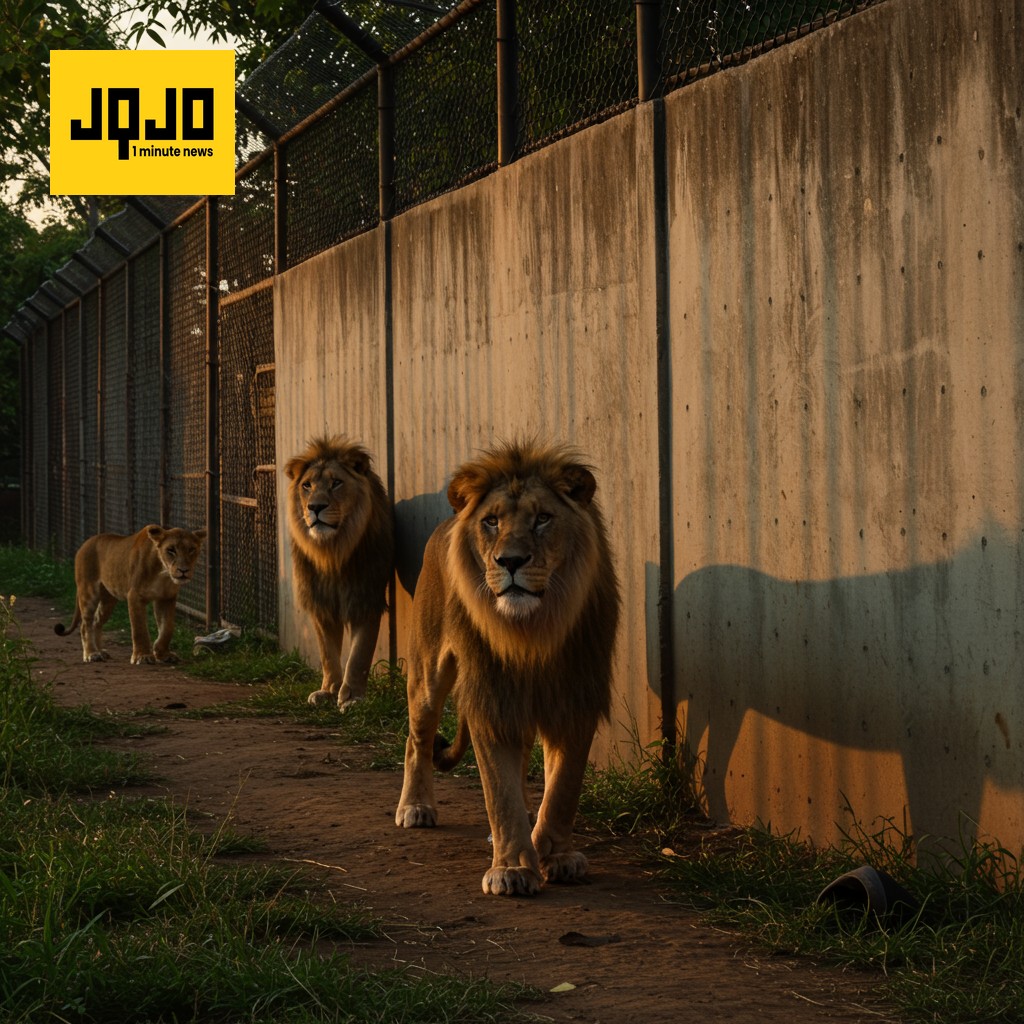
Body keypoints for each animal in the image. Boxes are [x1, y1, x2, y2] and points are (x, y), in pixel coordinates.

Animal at [55, 525, 207, 665]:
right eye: (171, 550)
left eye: (191, 549)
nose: (183, 570)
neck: (163, 573)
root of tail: (85, 543)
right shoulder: (134, 596)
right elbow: (139, 628)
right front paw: (142, 656)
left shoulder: (166, 598)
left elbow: (167, 628)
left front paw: (162, 654)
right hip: (88, 591)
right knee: (85, 624)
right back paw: (92, 654)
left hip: (108, 601)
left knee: (96, 621)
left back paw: (101, 651)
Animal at [284, 436, 394, 711]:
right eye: (307, 485)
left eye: (336, 483)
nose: (315, 507)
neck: (331, 553)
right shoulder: (320, 602)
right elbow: (327, 652)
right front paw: (328, 690)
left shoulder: (365, 598)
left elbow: (359, 655)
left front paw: (352, 697)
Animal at [395, 440, 621, 896]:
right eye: (491, 521)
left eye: (543, 518)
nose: (510, 561)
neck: (532, 632)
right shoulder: (492, 698)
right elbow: (499, 793)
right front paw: (513, 868)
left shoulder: (575, 698)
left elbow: (563, 788)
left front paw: (554, 854)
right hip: (428, 673)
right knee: (418, 739)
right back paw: (415, 806)